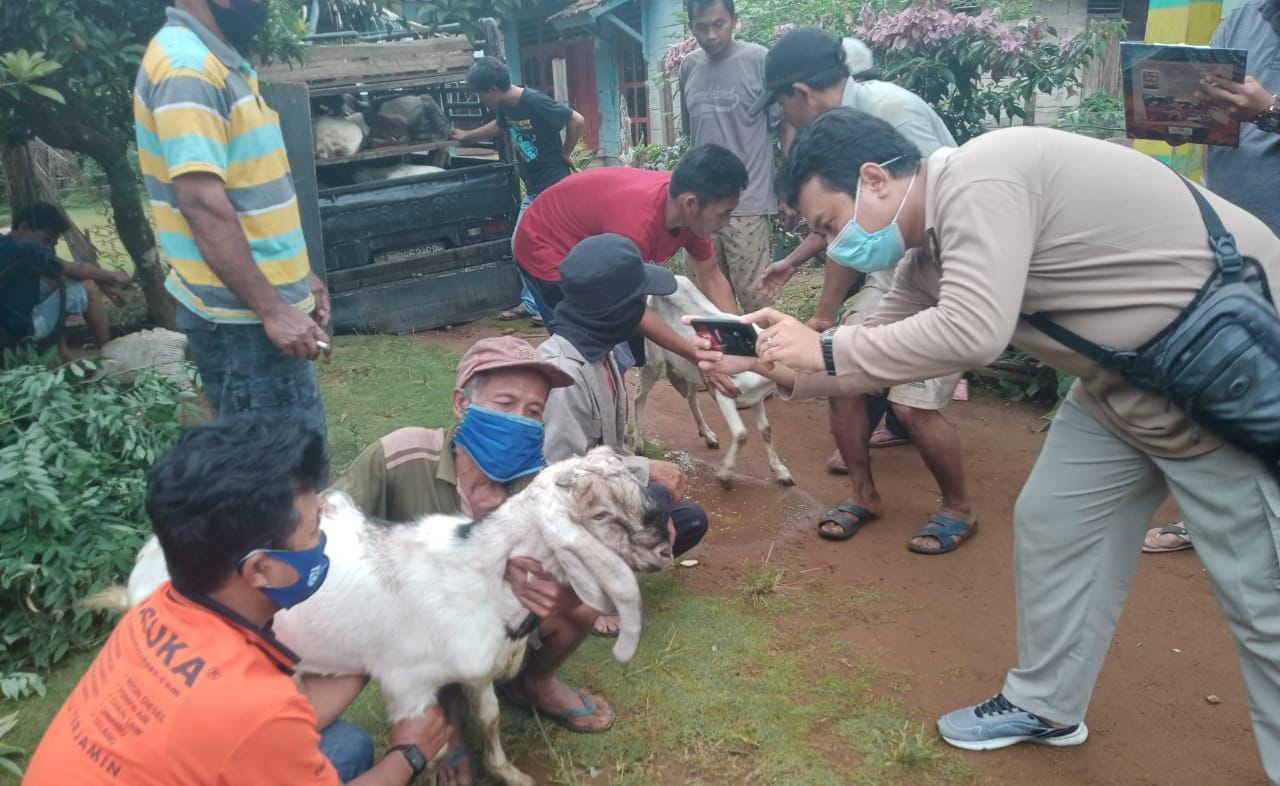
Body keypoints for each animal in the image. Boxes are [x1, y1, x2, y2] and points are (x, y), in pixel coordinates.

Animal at [124, 450, 675, 786]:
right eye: (600, 515)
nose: (666, 549)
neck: (478, 574)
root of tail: (151, 555)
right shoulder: (407, 686)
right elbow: (427, 748)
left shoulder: (476, 670)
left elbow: (490, 719)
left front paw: (509, 773)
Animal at [629, 277, 788, 486]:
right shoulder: (724, 392)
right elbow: (741, 434)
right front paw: (725, 473)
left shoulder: (756, 398)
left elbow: (766, 430)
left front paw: (781, 471)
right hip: (652, 361)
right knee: (639, 397)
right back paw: (639, 444)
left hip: (690, 368)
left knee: (690, 397)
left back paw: (708, 435)